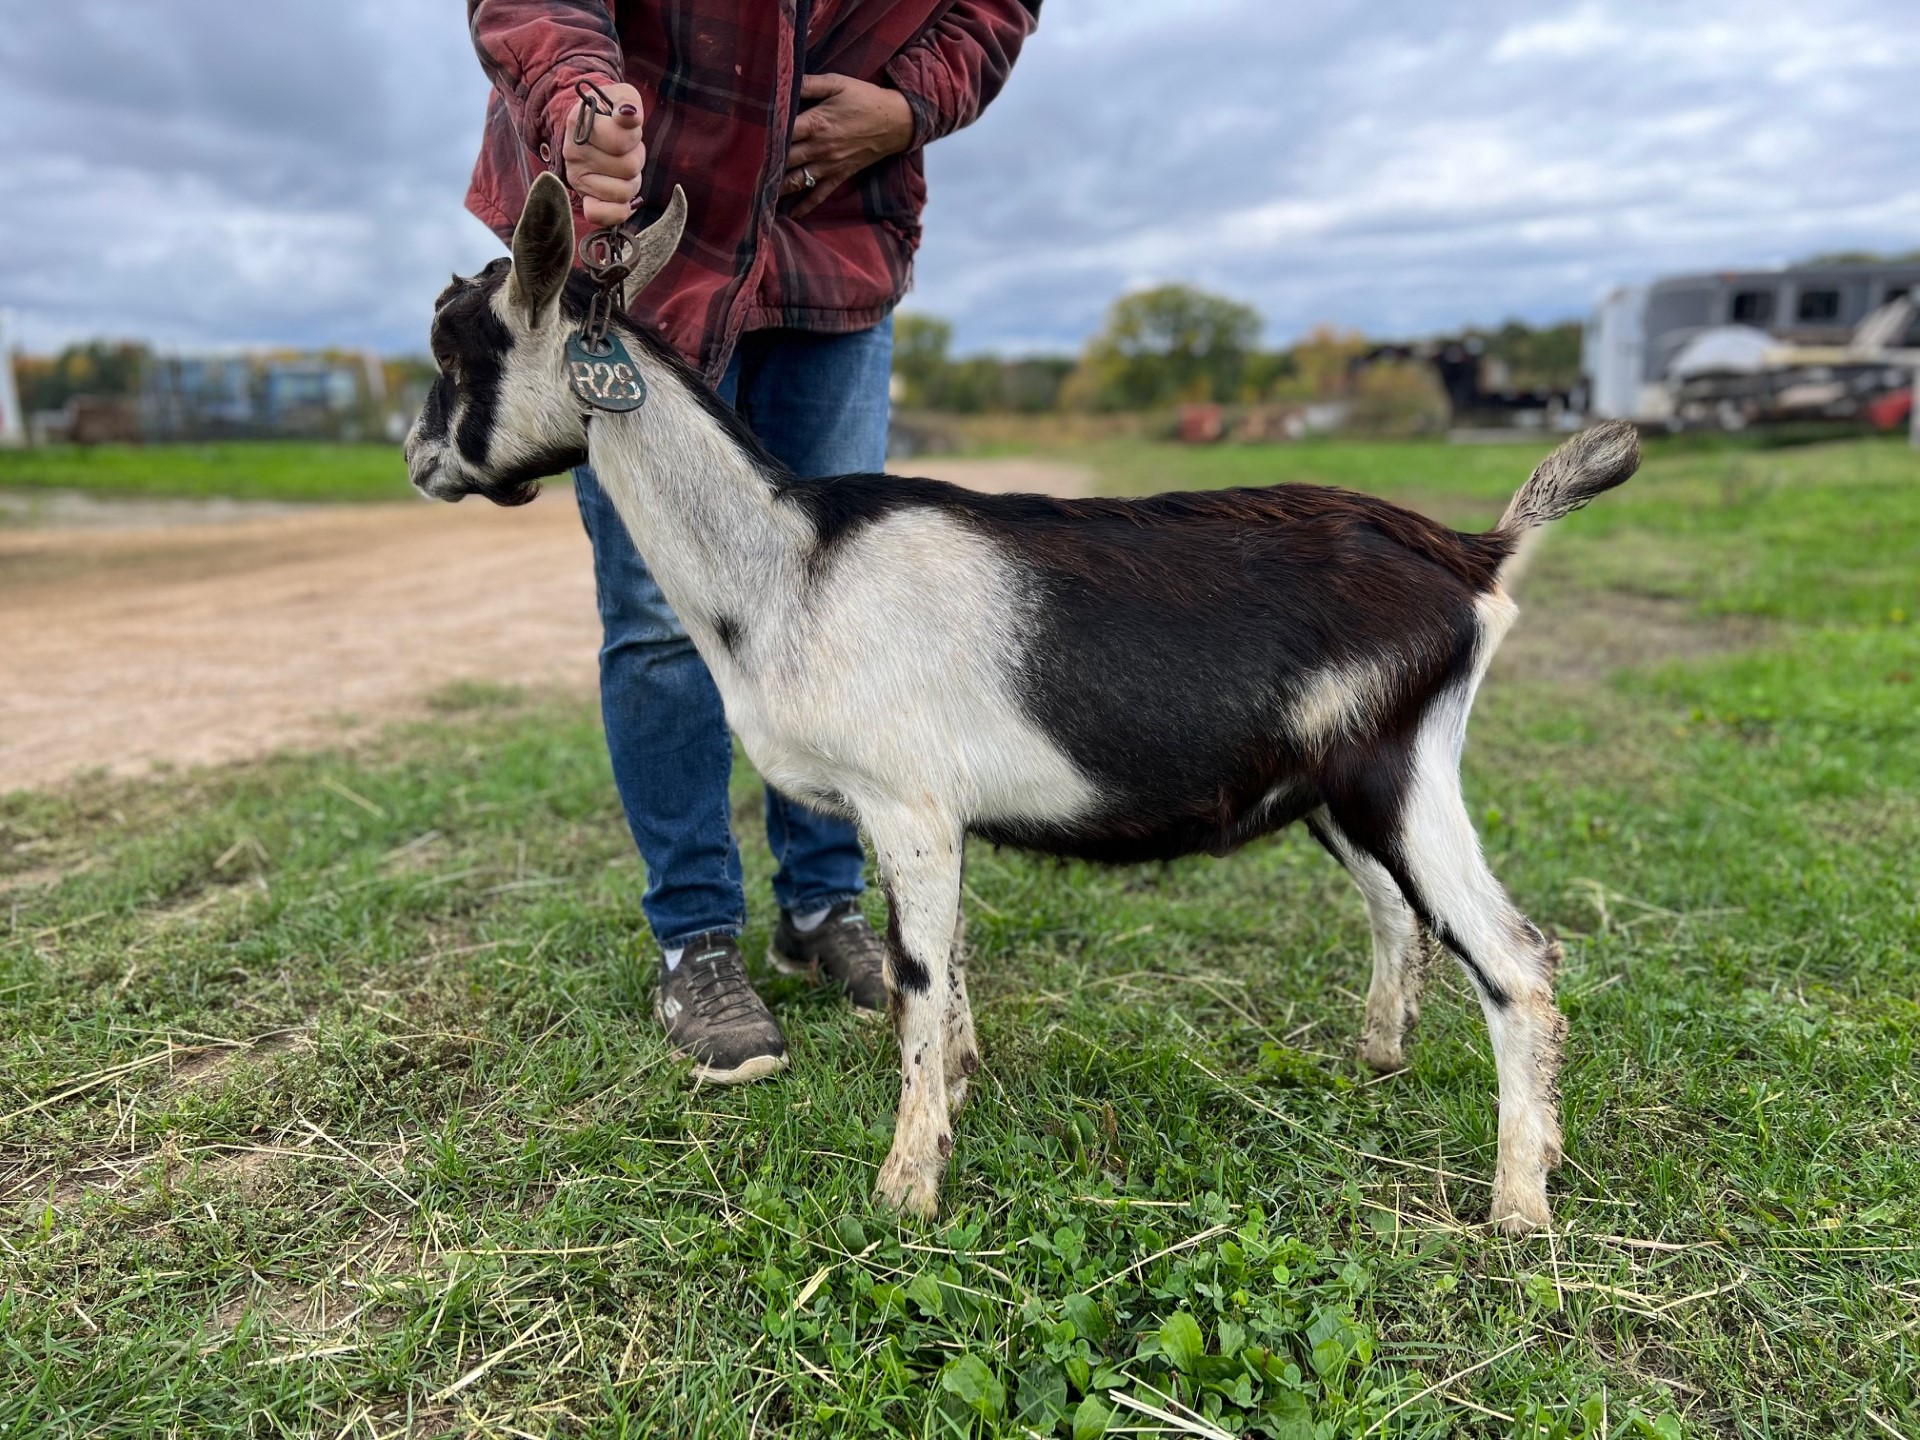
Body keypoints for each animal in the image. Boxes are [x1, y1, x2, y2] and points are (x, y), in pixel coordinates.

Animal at [405, 174, 1635, 1236]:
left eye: (454, 348)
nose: (416, 457)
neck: (786, 567)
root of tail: (1473, 553)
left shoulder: (907, 806)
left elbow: (913, 981)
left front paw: (907, 1184)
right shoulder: (919, 820)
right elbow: (941, 973)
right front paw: (956, 1089)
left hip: (1401, 775)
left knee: (1520, 964)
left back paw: (1519, 1210)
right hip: (1338, 787)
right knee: (1398, 915)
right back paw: (1383, 1063)